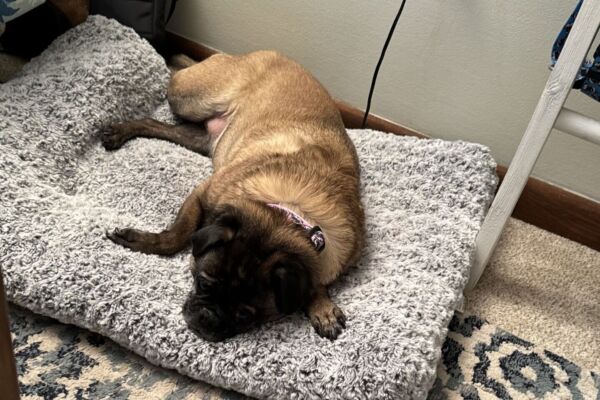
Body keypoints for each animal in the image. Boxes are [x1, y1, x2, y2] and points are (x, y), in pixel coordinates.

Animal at [102, 51, 366, 342]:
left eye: (244, 316)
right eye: (203, 283)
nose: (206, 320)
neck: (285, 214)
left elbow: (315, 282)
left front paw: (322, 306)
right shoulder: (202, 194)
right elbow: (178, 235)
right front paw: (141, 241)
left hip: (201, 138)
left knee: (156, 124)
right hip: (188, 98)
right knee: (175, 73)